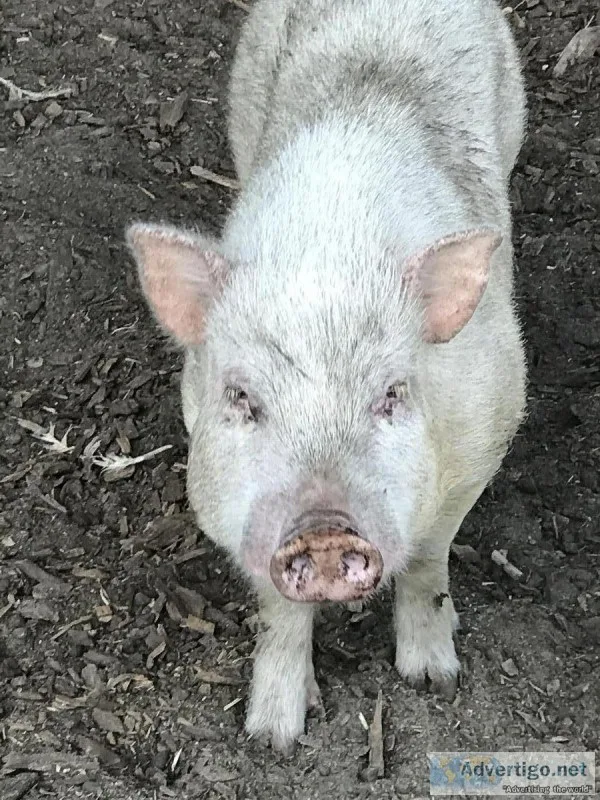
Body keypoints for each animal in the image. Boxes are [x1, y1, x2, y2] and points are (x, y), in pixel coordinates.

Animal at [126, 0, 527, 754]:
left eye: (393, 394)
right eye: (240, 397)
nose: (324, 530)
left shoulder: (486, 430)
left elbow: (428, 559)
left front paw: (433, 677)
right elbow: (278, 612)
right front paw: (273, 737)